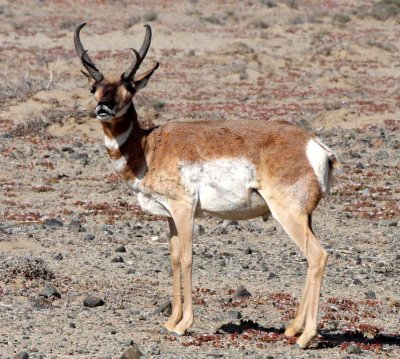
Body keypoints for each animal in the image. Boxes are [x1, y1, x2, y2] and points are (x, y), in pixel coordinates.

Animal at [74, 22, 338, 348]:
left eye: (129, 88)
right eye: (94, 88)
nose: (103, 108)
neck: (149, 146)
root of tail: (315, 146)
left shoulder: (184, 210)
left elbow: (187, 258)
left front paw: (183, 325)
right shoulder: (170, 217)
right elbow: (174, 259)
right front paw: (170, 321)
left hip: (288, 215)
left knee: (318, 256)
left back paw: (306, 337)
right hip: (304, 217)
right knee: (310, 260)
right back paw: (292, 329)